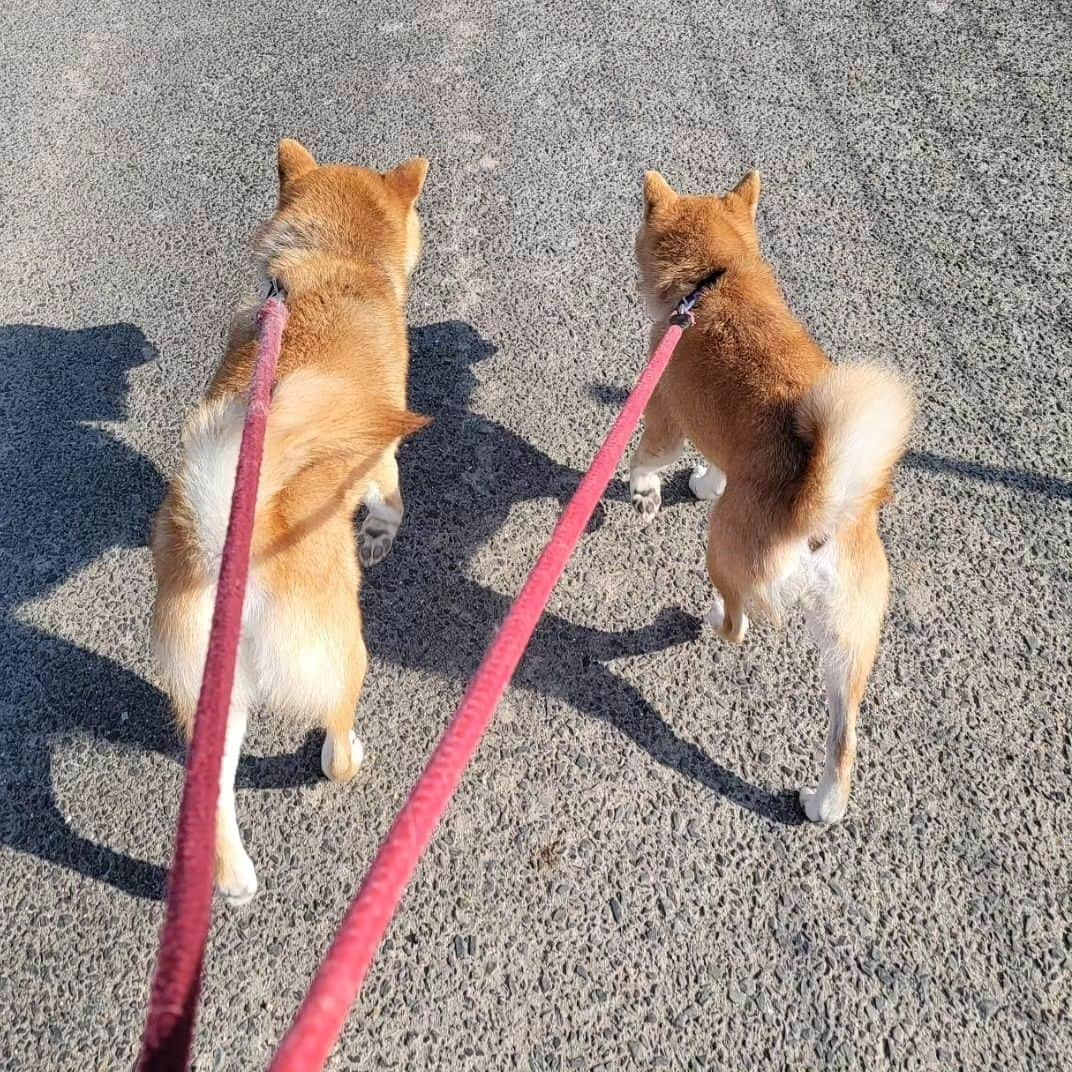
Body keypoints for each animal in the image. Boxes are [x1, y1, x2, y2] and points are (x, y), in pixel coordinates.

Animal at [150, 138, 430, 900]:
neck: (332, 266)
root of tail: (233, 541)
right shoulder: (382, 453)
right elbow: (390, 499)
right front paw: (381, 535)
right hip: (344, 652)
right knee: (335, 743)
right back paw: (348, 752)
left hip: (213, 697)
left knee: (214, 797)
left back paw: (234, 877)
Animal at [626, 169, 913, 819]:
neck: (715, 279)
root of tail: (819, 511)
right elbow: (717, 465)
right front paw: (706, 482)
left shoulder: (666, 414)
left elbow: (645, 458)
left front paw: (643, 490)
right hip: (849, 639)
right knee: (844, 738)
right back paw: (825, 804)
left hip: (725, 552)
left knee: (737, 625)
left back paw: (707, 618)